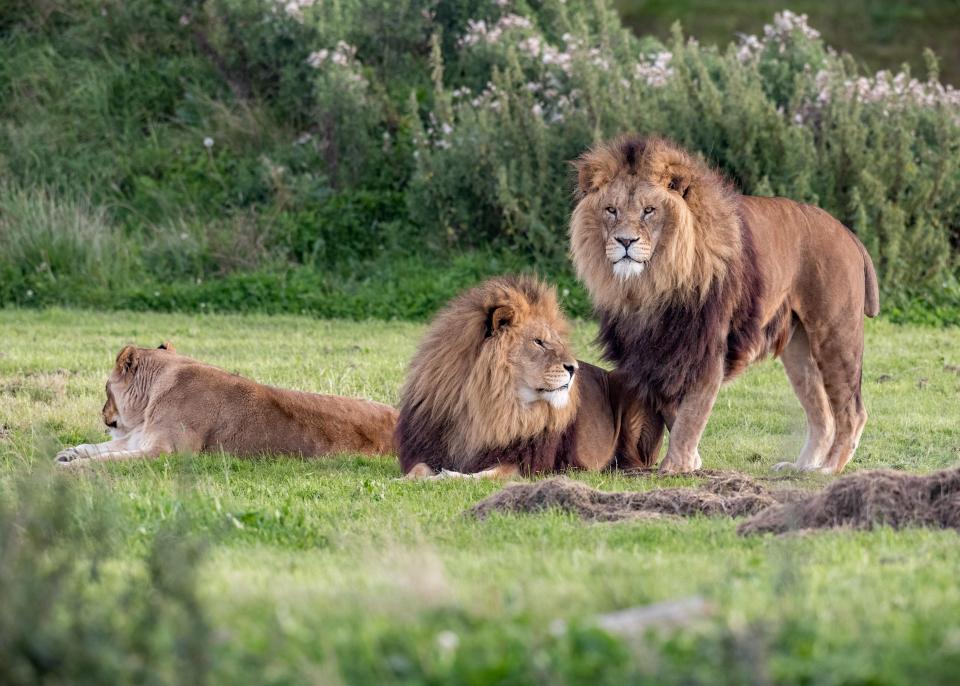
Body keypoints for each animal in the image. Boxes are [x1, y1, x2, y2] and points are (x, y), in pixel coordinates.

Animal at [53, 344, 398, 468]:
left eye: (106, 389)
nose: (103, 414)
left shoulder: (166, 452)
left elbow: (108, 459)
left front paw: (69, 468)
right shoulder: (139, 438)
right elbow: (96, 447)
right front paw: (68, 454)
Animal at [394, 274, 664, 478]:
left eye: (555, 341)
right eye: (539, 342)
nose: (574, 368)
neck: (485, 407)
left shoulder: (520, 464)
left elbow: (479, 476)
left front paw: (447, 476)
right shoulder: (430, 449)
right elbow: (418, 468)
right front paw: (406, 480)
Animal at [568, 137, 876, 476]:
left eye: (649, 210)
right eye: (611, 210)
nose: (625, 241)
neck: (648, 285)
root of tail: (848, 233)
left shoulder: (706, 347)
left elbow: (692, 413)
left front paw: (675, 467)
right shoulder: (656, 352)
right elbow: (672, 410)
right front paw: (692, 463)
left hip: (835, 333)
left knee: (852, 411)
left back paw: (829, 469)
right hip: (798, 349)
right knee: (821, 413)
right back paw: (801, 467)